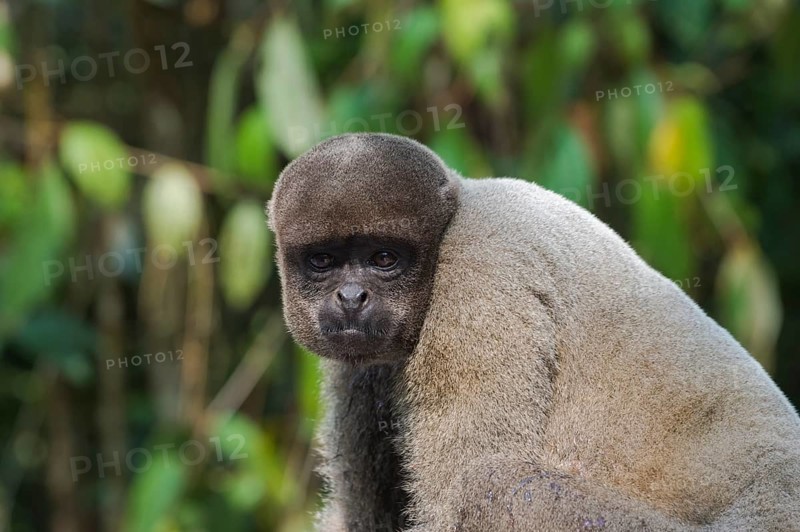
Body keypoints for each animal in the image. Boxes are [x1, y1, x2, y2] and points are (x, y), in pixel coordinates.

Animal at [267, 133, 800, 531]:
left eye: (384, 259)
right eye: (322, 261)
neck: (454, 217)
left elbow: (474, 484)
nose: (352, 297)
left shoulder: (480, 278)